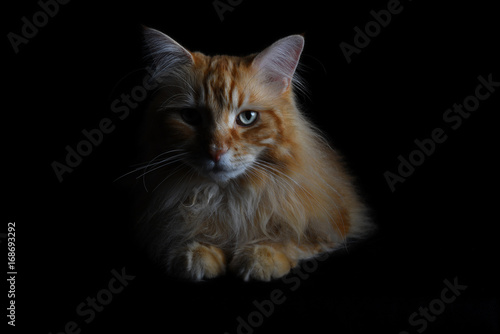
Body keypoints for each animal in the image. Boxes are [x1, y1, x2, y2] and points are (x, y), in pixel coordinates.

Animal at [131, 27, 374, 280]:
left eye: (247, 118)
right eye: (190, 116)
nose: (216, 151)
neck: (229, 199)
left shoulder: (335, 225)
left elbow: (292, 240)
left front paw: (262, 256)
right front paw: (196, 253)